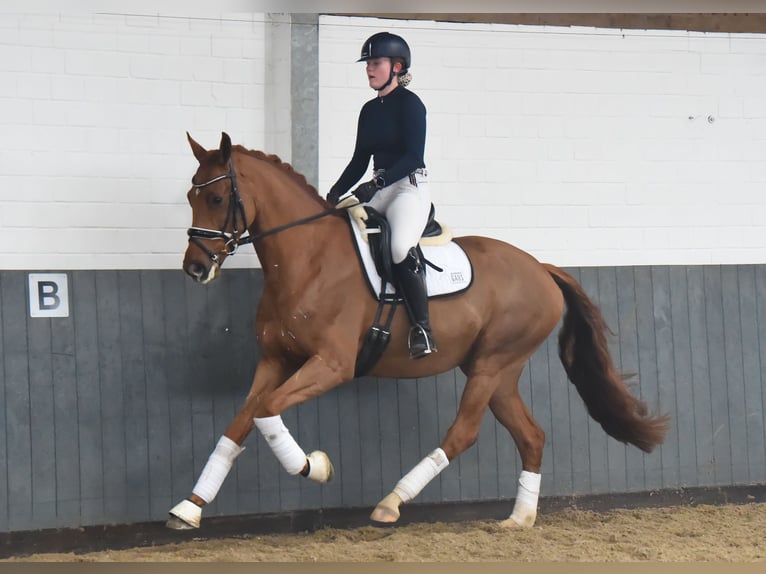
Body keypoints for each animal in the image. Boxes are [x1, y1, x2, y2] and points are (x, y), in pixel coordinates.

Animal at [166, 133, 664, 532]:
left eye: (216, 199)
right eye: (190, 194)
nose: (195, 268)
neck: (309, 260)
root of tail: (541, 268)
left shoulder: (331, 365)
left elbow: (268, 412)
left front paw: (314, 467)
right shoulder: (275, 361)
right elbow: (241, 422)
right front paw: (189, 508)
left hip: (491, 365)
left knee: (463, 433)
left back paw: (391, 503)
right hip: (499, 373)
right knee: (531, 435)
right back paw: (519, 518)